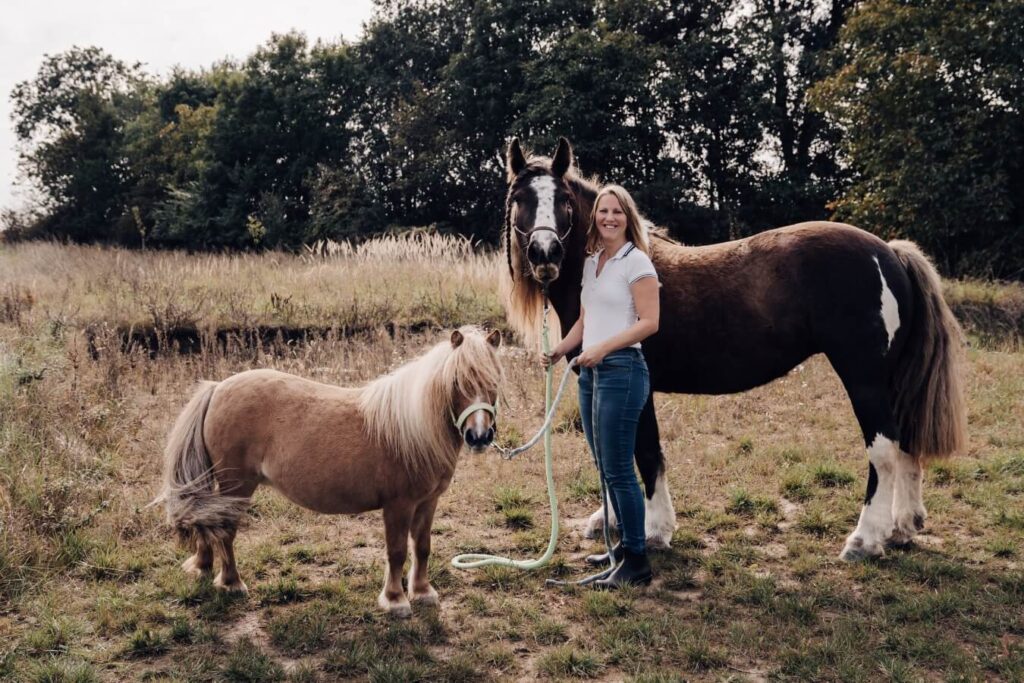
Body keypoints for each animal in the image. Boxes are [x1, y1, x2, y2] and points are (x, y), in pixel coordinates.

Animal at [153, 327, 501, 618]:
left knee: (207, 522)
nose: (479, 436)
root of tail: (217, 389)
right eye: (457, 383)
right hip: (235, 486)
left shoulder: (428, 502)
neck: (411, 427)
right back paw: (231, 583)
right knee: (224, 530)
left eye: (494, 382)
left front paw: (423, 592)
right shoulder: (398, 506)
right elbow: (397, 551)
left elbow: (423, 546)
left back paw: (202, 566)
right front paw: (396, 601)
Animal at [505, 139, 966, 561]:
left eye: (563, 201)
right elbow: (610, 450)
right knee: (906, 443)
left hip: (864, 379)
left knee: (883, 450)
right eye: (519, 199)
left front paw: (655, 531)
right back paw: (902, 527)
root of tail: (887, 253)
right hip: (891, 382)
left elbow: (644, 452)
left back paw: (865, 540)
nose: (545, 254)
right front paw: (610, 522)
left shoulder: (636, 387)